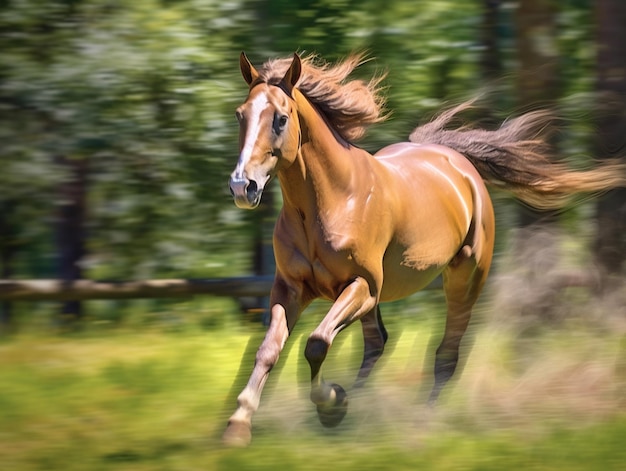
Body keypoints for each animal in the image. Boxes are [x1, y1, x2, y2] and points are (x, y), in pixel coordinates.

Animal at [223, 51, 624, 446]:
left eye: (281, 118)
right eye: (241, 114)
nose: (243, 186)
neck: (332, 199)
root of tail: (457, 162)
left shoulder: (362, 286)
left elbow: (317, 343)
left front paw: (330, 401)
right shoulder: (291, 288)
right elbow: (268, 350)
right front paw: (239, 423)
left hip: (463, 280)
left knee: (446, 354)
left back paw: (420, 419)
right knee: (378, 343)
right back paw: (357, 410)